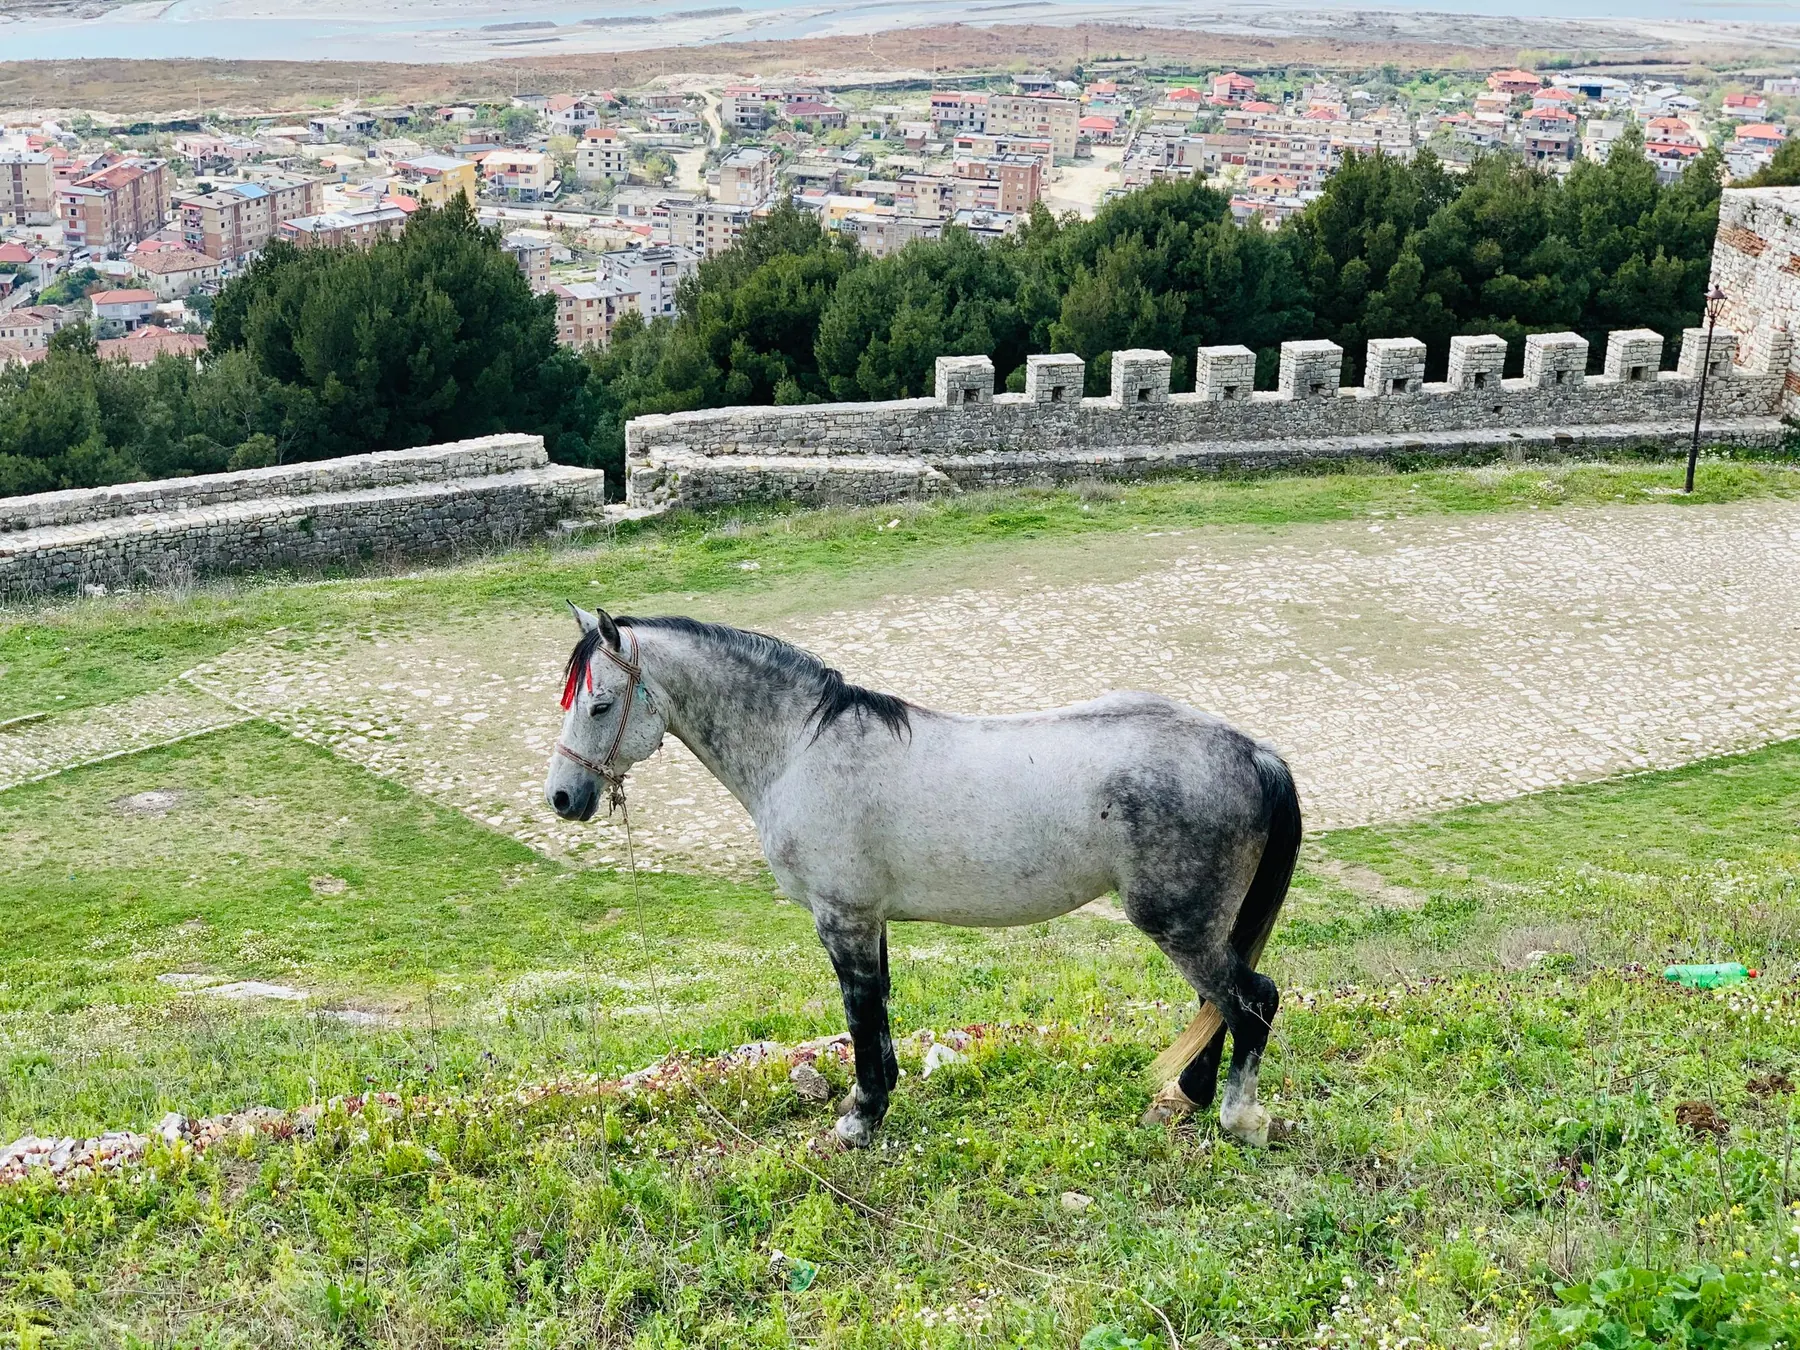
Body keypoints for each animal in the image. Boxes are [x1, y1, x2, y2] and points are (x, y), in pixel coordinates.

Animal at [544, 604, 1301, 1149]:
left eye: (600, 704)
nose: (563, 798)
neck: (803, 747)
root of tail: (1251, 751)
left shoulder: (842, 918)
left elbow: (860, 1011)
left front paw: (859, 1120)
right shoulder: (870, 919)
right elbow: (878, 1010)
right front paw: (876, 1101)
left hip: (1181, 926)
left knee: (1252, 1001)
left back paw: (1239, 1120)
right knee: (1219, 1008)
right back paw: (1184, 1098)